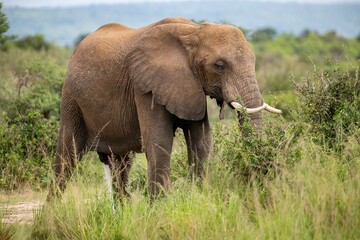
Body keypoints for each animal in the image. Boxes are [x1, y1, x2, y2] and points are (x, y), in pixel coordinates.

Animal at [47, 17, 282, 201]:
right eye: (219, 66)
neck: (194, 30)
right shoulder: (144, 86)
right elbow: (159, 142)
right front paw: (158, 210)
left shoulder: (190, 87)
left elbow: (202, 142)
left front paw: (199, 198)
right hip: (71, 98)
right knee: (67, 156)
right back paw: (51, 215)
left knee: (120, 163)